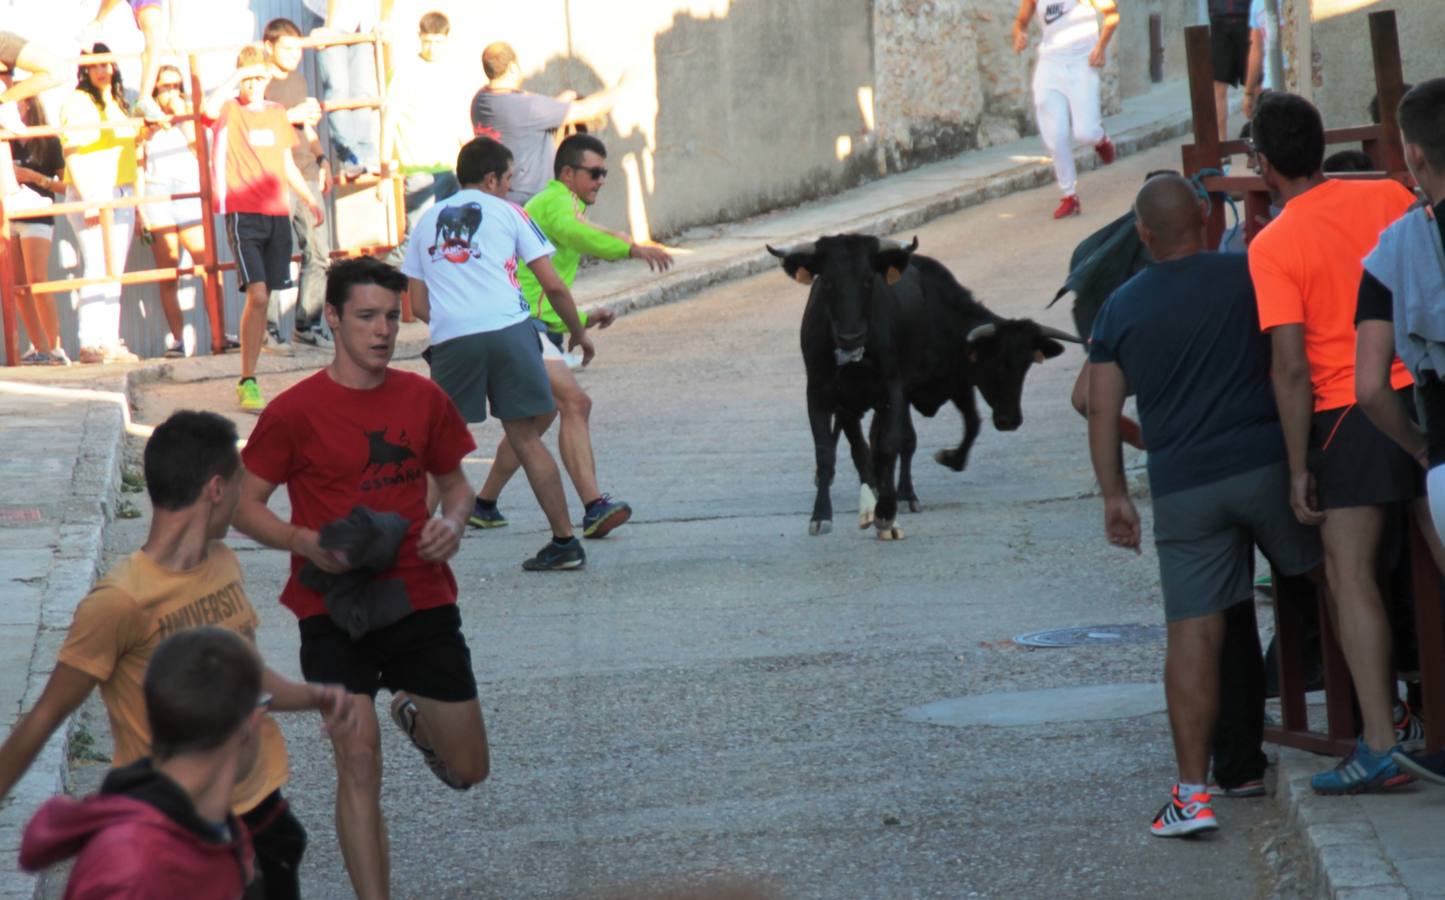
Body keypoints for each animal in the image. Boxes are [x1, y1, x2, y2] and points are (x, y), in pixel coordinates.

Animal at [768, 234, 1086, 543]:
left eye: (1024, 366)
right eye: (995, 362)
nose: (1010, 421)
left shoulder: (935, 384)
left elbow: (956, 428)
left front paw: (940, 467)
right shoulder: (831, 392)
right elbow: (856, 448)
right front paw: (833, 513)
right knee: (857, 448)